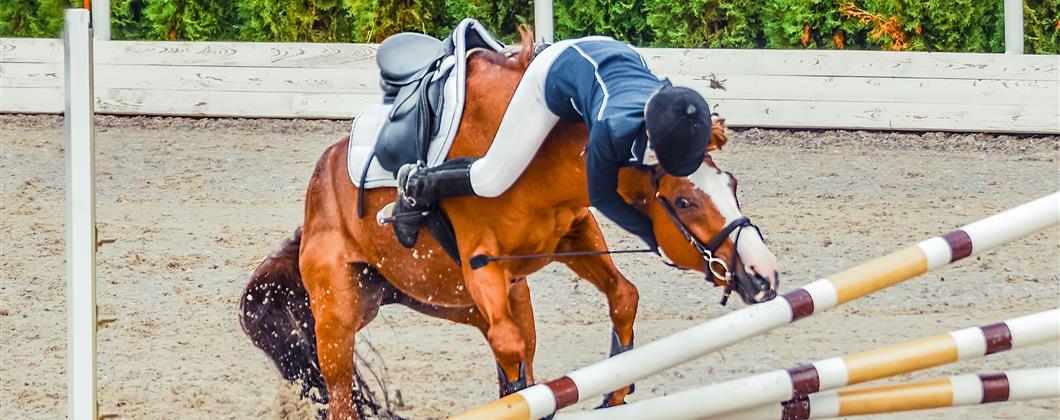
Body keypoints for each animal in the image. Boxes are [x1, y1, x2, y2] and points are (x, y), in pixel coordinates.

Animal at [242, 31, 780, 417]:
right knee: (340, 396)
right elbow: (512, 351)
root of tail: (316, 198)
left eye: (731, 184)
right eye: (685, 201)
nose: (764, 275)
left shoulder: (571, 233)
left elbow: (622, 296)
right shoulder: (483, 264)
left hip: (462, 299)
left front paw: (616, 391)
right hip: (337, 320)